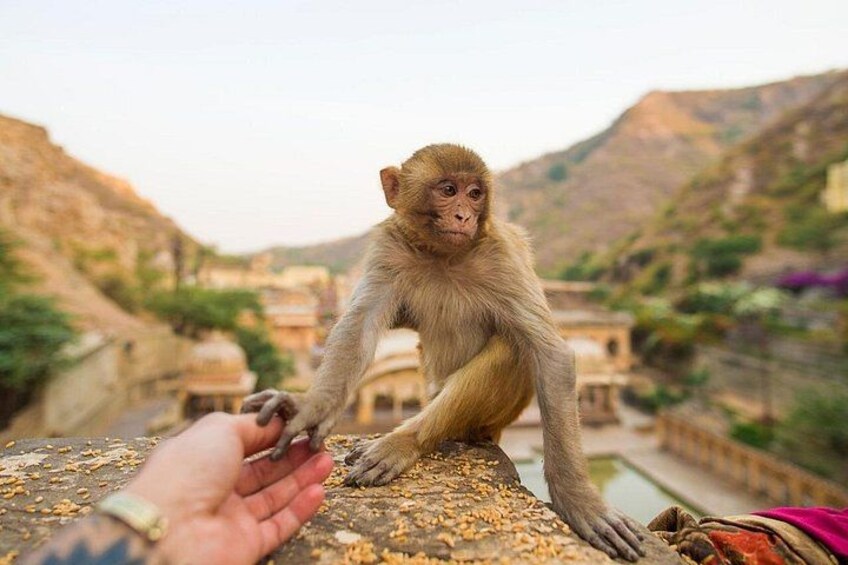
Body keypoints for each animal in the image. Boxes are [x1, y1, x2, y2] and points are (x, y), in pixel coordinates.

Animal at [242, 144, 645, 561]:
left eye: (475, 193)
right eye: (449, 190)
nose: (464, 215)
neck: (443, 255)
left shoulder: (503, 256)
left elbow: (551, 353)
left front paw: (578, 501)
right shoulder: (390, 249)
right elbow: (361, 327)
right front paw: (312, 406)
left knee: (512, 347)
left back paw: (404, 442)